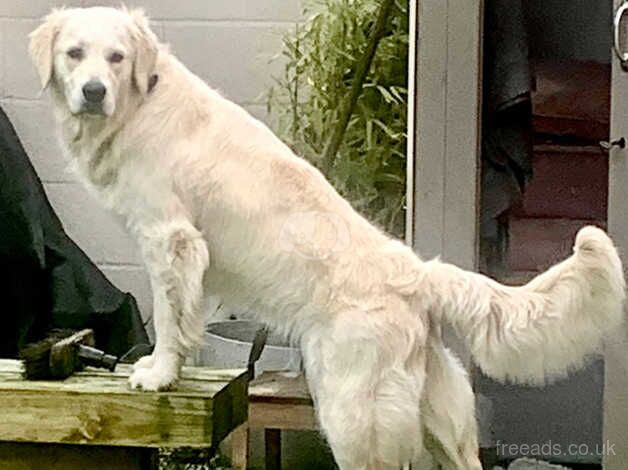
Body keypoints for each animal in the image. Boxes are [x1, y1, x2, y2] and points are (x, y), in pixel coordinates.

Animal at [30, 7, 628, 470]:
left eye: (116, 57)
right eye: (74, 53)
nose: (92, 92)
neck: (143, 103)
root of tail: (419, 274)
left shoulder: (171, 239)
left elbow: (173, 320)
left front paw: (157, 374)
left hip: (353, 416)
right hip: (442, 422)